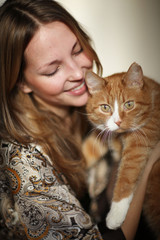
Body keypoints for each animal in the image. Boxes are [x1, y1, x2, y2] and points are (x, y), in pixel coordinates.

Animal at [85, 62, 160, 239]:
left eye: (129, 104)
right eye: (105, 107)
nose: (118, 122)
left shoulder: (139, 145)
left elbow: (126, 176)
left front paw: (115, 215)